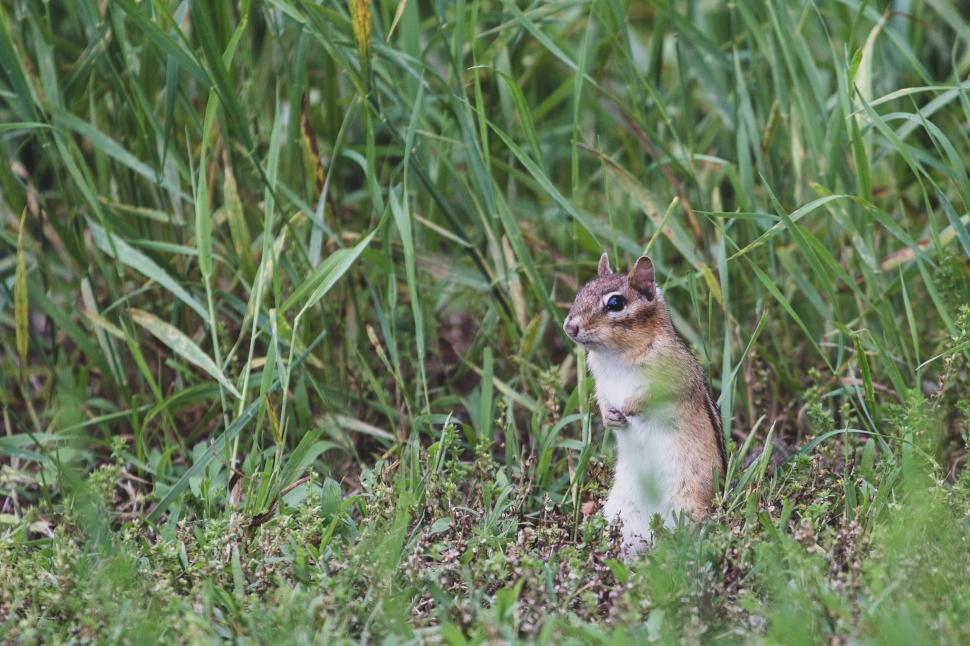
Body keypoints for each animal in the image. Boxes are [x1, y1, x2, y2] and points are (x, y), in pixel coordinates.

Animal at [563, 253, 726, 553]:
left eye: (615, 303)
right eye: (582, 291)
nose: (569, 326)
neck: (615, 357)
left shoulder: (673, 377)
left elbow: (649, 396)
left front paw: (627, 409)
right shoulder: (601, 383)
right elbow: (604, 400)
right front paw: (610, 417)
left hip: (688, 505)